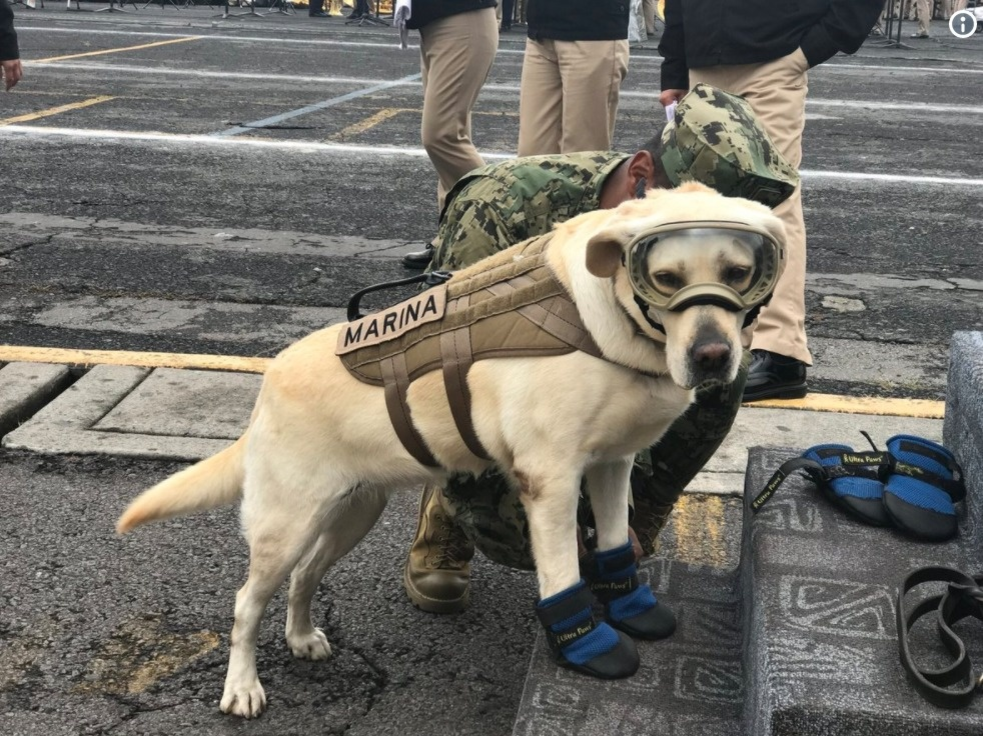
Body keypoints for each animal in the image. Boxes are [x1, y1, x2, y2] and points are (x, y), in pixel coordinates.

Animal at [119, 181, 788, 716]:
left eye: (738, 273)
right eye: (666, 279)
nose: (713, 357)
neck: (608, 322)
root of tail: (267, 387)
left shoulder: (611, 465)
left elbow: (616, 546)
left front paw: (632, 608)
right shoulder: (550, 480)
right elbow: (564, 574)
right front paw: (588, 646)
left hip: (352, 512)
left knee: (306, 576)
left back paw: (303, 637)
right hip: (285, 524)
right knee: (244, 604)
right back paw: (242, 687)